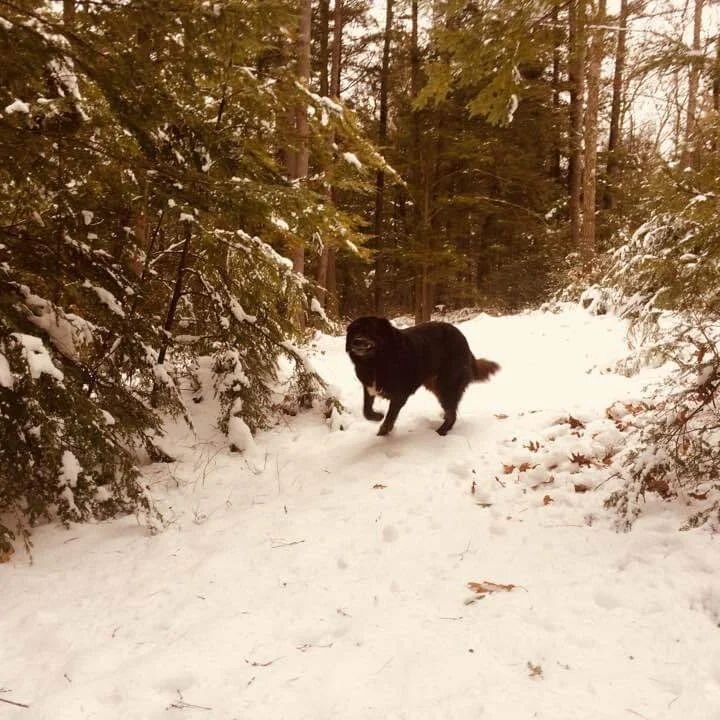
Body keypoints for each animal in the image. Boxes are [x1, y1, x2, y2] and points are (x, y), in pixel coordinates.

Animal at [346, 318, 498, 436]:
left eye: (369, 330)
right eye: (354, 332)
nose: (356, 341)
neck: (376, 362)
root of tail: (466, 344)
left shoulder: (400, 396)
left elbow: (390, 417)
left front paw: (383, 431)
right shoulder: (369, 388)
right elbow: (366, 411)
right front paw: (378, 416)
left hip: (447, 385)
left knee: (452, 414)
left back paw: (441, 431)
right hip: (436, 386)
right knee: (451, 410)